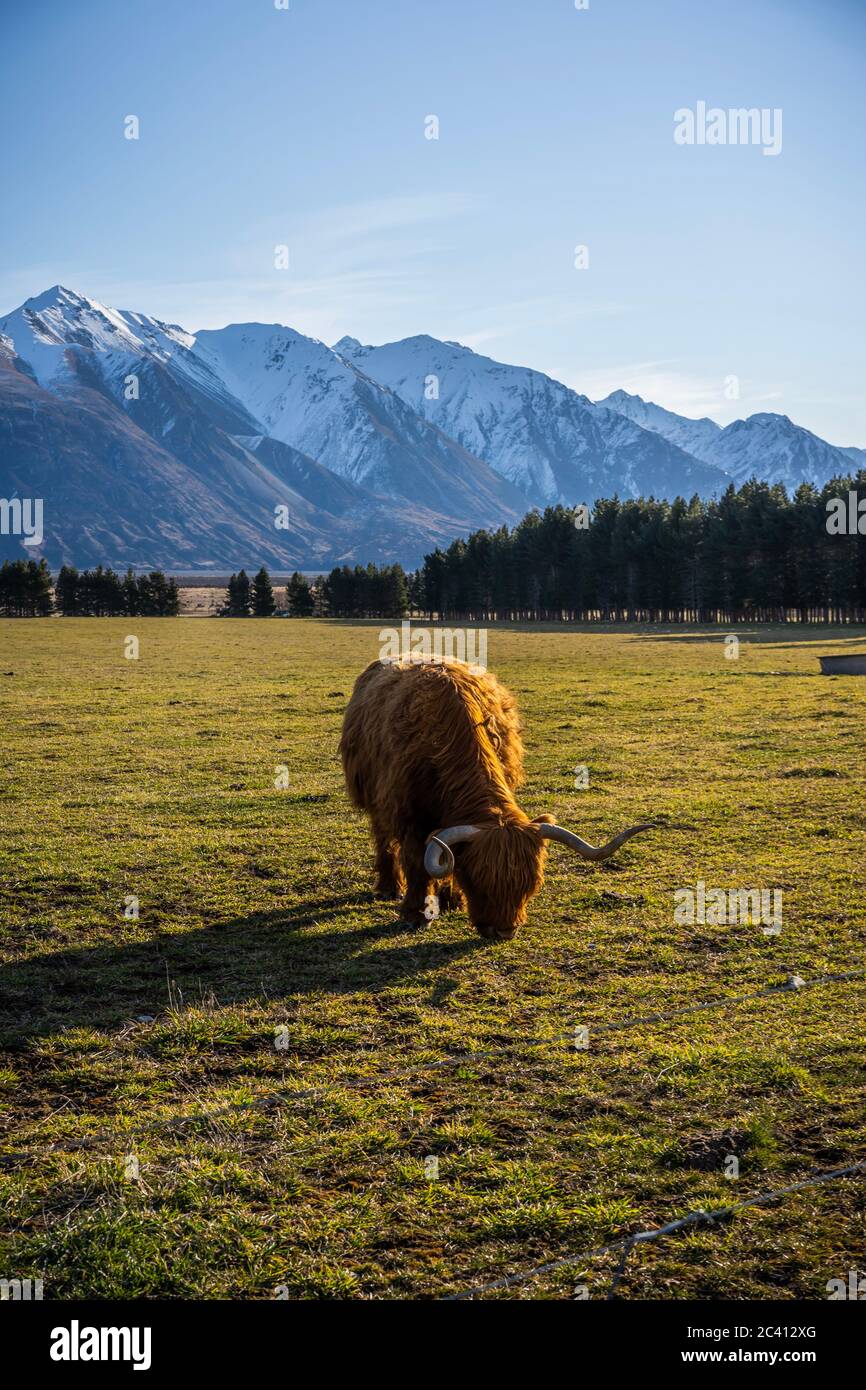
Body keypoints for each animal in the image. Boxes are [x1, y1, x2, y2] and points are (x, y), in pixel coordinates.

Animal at [339, 656, 653, 941]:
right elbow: (418, 863)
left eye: (531, 884)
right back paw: (389, 886)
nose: (504, 931)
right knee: (384, 839)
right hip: (372, 796)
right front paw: (416, 914)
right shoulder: (408, 816)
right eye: (478, 881)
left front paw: (453, 899)